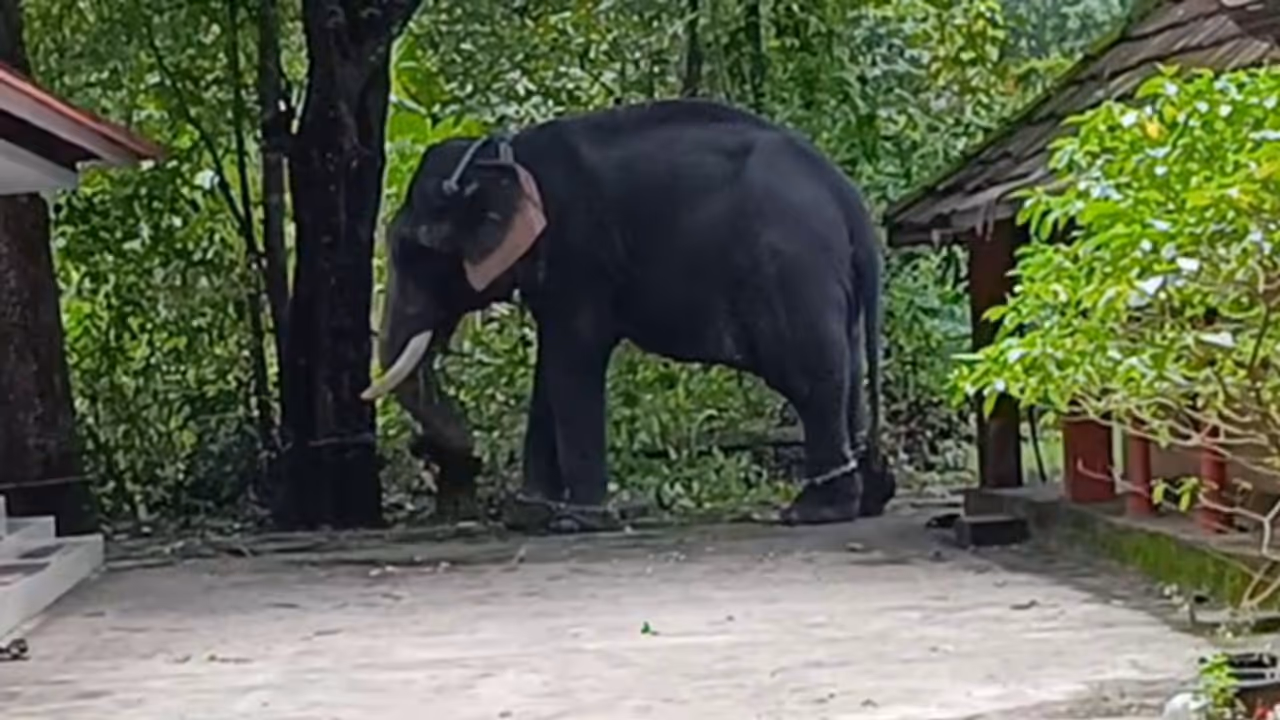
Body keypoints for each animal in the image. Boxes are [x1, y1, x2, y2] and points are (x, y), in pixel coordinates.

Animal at [363, 98, 894, 532]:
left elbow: (573, 360)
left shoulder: (580, 253)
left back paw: (813, 512)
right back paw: (860, 499)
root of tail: (850, 202)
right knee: (847, 370)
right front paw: (527, 516)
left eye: (419, 250)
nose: (456, 449)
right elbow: (550, 369)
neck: (505, 154)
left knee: (809, 375)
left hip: (791, 269)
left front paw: (578, 521)